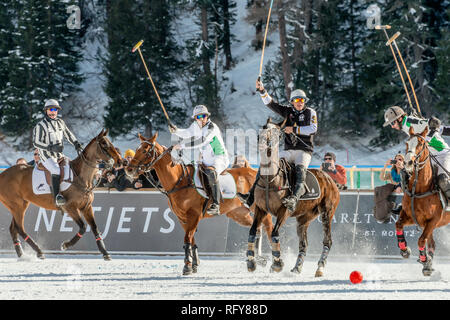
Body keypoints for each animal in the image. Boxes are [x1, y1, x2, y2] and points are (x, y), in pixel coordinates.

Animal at [0, 129, 122, 260]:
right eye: (104, 143)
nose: (120, 161)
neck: (81, 177)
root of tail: (2, 174)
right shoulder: (70, 207)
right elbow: (83, 227)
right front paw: (66, 245)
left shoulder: (86, 207)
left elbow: (94, 228)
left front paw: (105, 252)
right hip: (17, 205)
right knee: (19, 228)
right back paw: (38, 251)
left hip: (20, 204)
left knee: (13, 228)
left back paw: (21, 253)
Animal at [125, 132, 274, 276]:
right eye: (137, 149)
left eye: (145, 150)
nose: (129, 169)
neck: (179, 181)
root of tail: (255, 171)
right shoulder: (182, 218)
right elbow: (192, 240)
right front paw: (194, 264)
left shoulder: (194, 215)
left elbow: (187, 239)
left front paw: (187, 266)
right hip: (238, 213)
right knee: (257, 229)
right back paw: (256, 259)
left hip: (257, 208)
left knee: (268, 227)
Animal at [248, 119, 340, 276]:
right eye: (264, 127)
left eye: (277, 133)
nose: (263, 141)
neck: (270, 179)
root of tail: (331, 181)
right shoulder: (260, 209)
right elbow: (253, 231)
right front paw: (251, 262)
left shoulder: (284, 211)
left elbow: (274, 234)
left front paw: (277, 263)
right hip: (304, 219)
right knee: (304, 244)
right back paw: (297, 267)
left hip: (327, 213)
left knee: (328, 241)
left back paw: (320, 268)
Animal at [396, 127, 448, 276]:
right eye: (407, 143)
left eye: (421, 144)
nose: (407, 163)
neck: (420, 188)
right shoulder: (410, 216)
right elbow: (398, 225)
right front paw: (404, 250)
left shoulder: (433, 220)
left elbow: (421, 240)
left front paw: (424, 260)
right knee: (432, 244)